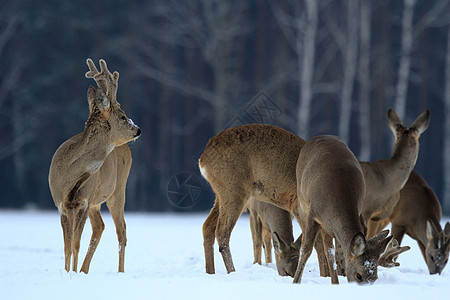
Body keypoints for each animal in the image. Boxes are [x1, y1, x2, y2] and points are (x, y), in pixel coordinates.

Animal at [48, 58, 140, 274]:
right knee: (100, 227)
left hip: (118, 189)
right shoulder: (62, 204)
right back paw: (84, 269)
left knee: (121, 230)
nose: (138, 129)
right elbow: (67, 246)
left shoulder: (84, 201)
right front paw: (69, 272)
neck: (70, 176)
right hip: (97, 200)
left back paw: (119, 272)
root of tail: (126, 148)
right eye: (123, 116)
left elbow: (75, 244)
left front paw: (72, 273)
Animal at [294, 135, 392, 284]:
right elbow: (306, 249)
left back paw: (334, 282)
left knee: (329, 250)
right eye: (359, 275)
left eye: (375, 277)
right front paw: (295, 282)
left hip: (325, 224)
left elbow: (333, 252)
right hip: (302, 199)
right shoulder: (313, 213)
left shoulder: (359, 214)